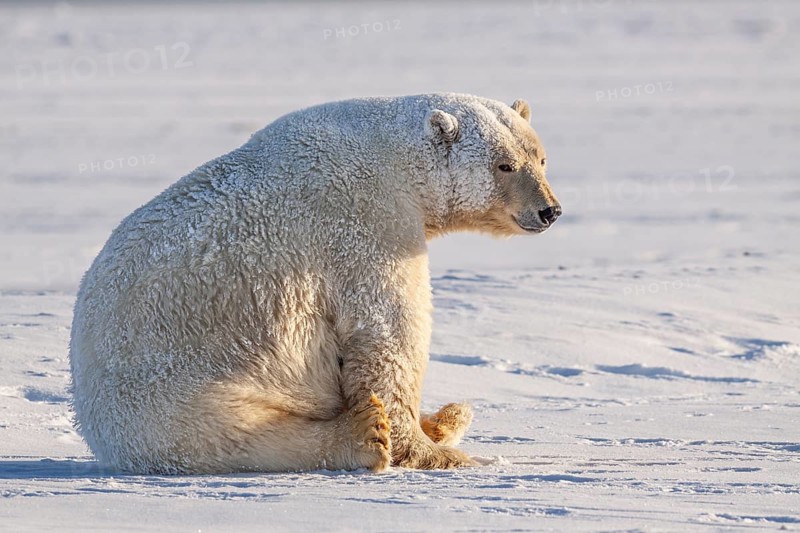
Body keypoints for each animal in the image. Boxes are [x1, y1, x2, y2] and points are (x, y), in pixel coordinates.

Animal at [69, 93, 561, 474]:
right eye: (504, 165)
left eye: (540, 158)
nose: (549, 210)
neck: (392, 156)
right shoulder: (366, 222)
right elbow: (387, 332)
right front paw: (436, 454)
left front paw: (435, 429)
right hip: (171, 395)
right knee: (239, 435)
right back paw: (364, 435)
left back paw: (447, 417)